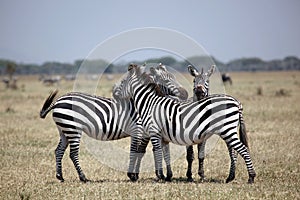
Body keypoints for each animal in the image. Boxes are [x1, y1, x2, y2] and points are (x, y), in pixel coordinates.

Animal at [38, 64, 186, 183]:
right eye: (167, 80)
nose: (185, 93)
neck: (145, 104)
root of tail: (57, 101)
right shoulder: (138, 130)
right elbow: (136, 151)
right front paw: (133, 175)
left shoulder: (146, 133)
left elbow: (144, 151)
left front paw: (142, 175)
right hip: (73, 129)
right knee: (73, 154)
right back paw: (83, 177)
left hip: (64, 129)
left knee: (59, 151)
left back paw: (60, 176)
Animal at [113, 64, 256, 184]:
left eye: (122, 82)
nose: (114, 95)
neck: (150, 103)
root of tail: (236, 101)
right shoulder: (162, 136)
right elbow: (165, 154)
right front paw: (166, 176)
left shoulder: (154, 132)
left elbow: (158, 153)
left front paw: (161, 176)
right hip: (228, 131)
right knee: (235, 151)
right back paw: (230, 177)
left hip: (227, 130)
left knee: (242, 149)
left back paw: (251, 177)